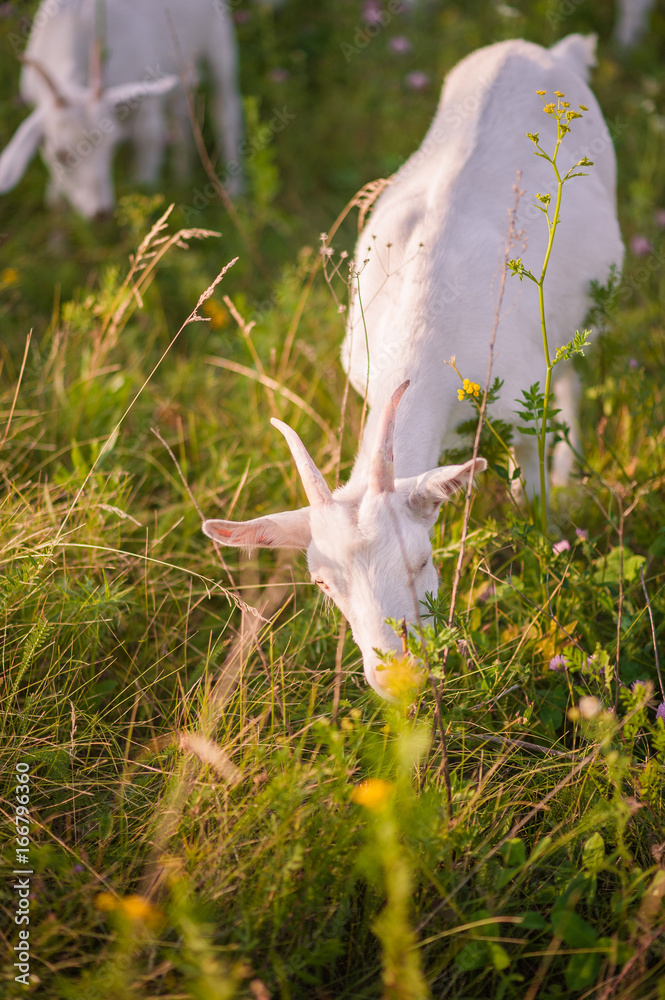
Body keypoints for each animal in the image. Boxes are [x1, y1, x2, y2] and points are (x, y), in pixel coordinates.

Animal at [0, 0, 242, 219]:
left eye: (113, 147)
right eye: (61, 154)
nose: (101, 213)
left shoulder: (144, 97)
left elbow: (147, 153)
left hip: (218, 38)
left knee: (226, 110)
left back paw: (235, 191)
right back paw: (182, 175)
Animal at [203, 34, 623, 700]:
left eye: (421, 560)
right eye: (323, 584)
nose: (397, 678)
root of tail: (545, 49)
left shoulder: (525, 400)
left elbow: (530, 490)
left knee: (575, 378)